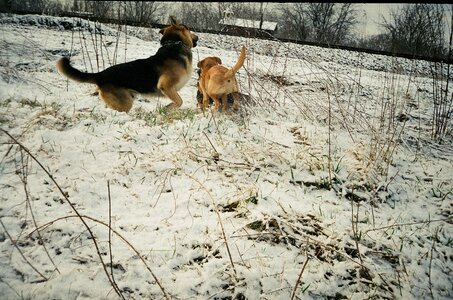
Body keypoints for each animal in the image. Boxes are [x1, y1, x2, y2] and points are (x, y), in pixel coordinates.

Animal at [56, 16, 198, 112]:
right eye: (188, 28)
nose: (197, 37)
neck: (175, 43)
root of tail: (100, 75)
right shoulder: (166, 86)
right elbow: (179, 101)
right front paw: (167, 109)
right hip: (126, 102)